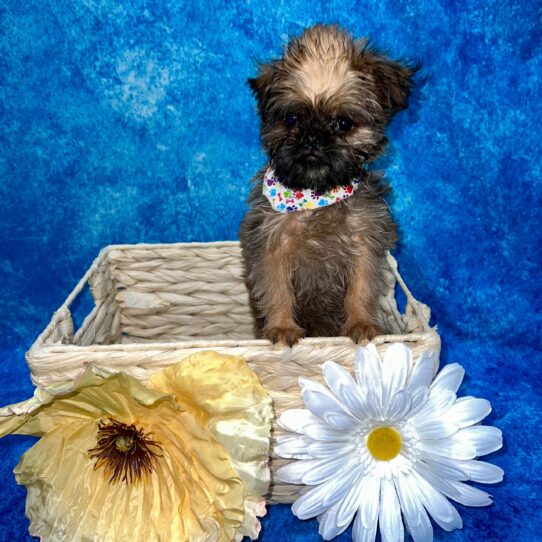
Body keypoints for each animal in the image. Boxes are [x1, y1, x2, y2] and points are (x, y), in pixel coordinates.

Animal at [240, 23, 418, 346]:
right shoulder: (272, 245)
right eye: (292, 119)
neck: (315, 195)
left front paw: (361, 324)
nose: (312, 137)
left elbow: (360, 289)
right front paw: (282, 327)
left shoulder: (365, 243)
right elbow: (277, 290)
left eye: (343, 124)